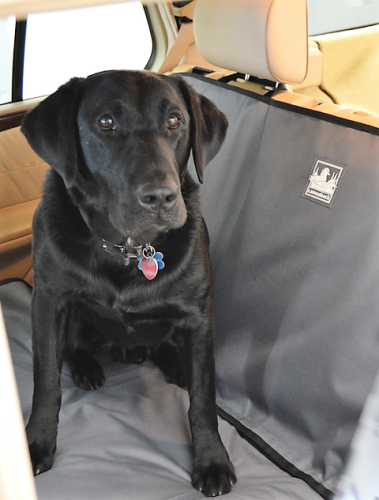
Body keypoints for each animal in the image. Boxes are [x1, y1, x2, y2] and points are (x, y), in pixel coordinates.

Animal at [22, 70, 236, 496]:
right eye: (106, 122)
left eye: (174, 121)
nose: (161, 197)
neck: (129, 248)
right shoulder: (49, 299)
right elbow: (46, 380)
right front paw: (36, 442)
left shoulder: (199, 315)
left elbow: (203, 401)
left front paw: (211, 458)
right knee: (73, 348)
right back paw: (88, 367)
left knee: (168, 351)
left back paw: (175, 364)